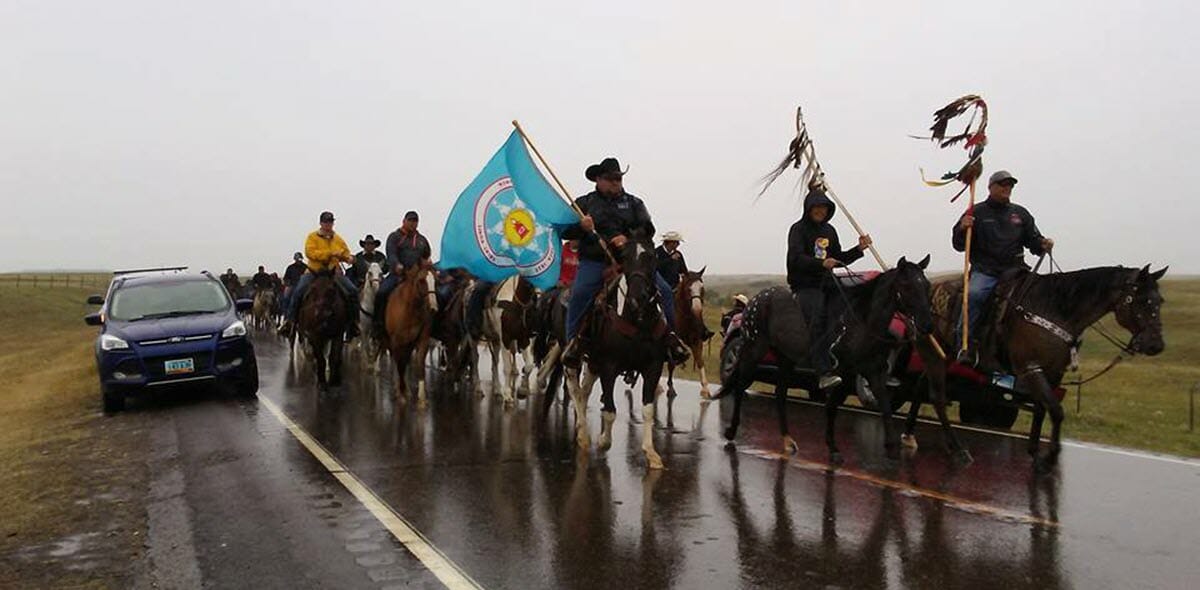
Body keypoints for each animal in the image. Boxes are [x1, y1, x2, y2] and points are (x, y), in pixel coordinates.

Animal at [386, 263, 439, 407]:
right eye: (421, 280)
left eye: (436, 281)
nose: (433, 308)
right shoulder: (396, 341)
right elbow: (399, 365)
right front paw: (401, 394)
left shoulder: (422, 340)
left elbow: (419, 362)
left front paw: (421, 397)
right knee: (397, 362)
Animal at [564, 230, 672, 470]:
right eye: (625, 258)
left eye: (651, 257)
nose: (637, 298)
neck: (638, 321)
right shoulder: (609, 366)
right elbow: (610, 410)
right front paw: (604, 441)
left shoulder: (653, 367)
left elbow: (648, 409)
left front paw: (651, 453)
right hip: (573, 360)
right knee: (575, 390)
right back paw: (583, 435)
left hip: (593, 363)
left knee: (584, 392)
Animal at [715, 255, 960, 462]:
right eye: (907, 286)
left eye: (926, 286)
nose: (927, 325)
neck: (862, 321)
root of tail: (752, 302)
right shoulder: (845, 371)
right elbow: (835, 405)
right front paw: (835, 447)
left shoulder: (871, 371)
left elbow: (881, 405)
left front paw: (889, 447)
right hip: (754, 349)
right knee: (740, 386)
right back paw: (731, 431)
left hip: (786, 358)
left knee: (780, 394)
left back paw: (787, 439)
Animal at [907, 265, 1161, 472]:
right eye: (1141, 301)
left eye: (1160, 301)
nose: (1156, 344)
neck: (1056, 309)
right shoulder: (1030, 369)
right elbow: (1056, 410)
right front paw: (1050, 458)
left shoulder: (1051, 373)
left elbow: (1042, 408)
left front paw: (1035, 453)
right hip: (934, 354)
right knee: (938, 398)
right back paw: (958, 450)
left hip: (942, 356)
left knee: (920, 387)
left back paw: (909, 435)